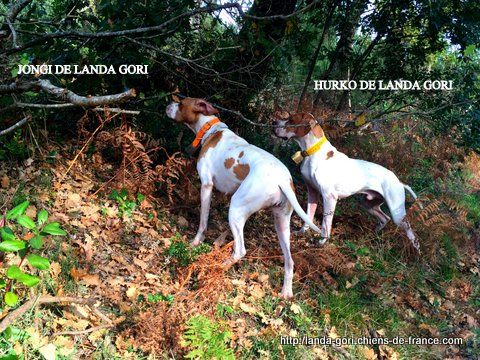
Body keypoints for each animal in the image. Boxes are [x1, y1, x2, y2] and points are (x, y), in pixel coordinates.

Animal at [166, 97, 322, 298]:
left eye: (181, 103)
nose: (167, 105)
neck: (210, 129)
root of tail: (283, 179)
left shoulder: (206, 186)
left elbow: (203, 222)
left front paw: (195, 242)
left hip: (236, 209)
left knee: (240, 250)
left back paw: (219, 265)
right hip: (281, 223)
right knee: (289, 261)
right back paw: (286, 292)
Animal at [274, 112, 420, 253]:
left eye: (291, 120)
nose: (274, 122)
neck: (313, 152)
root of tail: (400, 182)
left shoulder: (329, 197)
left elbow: (326, 223)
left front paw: (322, 241)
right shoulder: (312, 192)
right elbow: (308, 215)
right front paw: (302, 231)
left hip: (397, 214)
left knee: (411, 231)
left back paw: (416, 252)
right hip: (368, 204)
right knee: (385, 218)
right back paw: (374, 236)